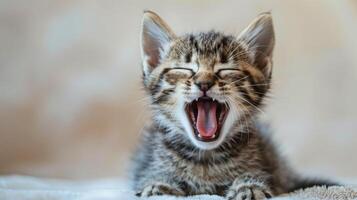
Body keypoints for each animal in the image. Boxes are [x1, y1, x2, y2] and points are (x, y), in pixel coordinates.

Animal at [131, 11, 330, 200]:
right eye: (185, 69)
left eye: (226, 70)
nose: (204, 83)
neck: (206, 159)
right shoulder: (146, 165)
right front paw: (161, 186)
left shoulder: (270, 169)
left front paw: (249, 186)